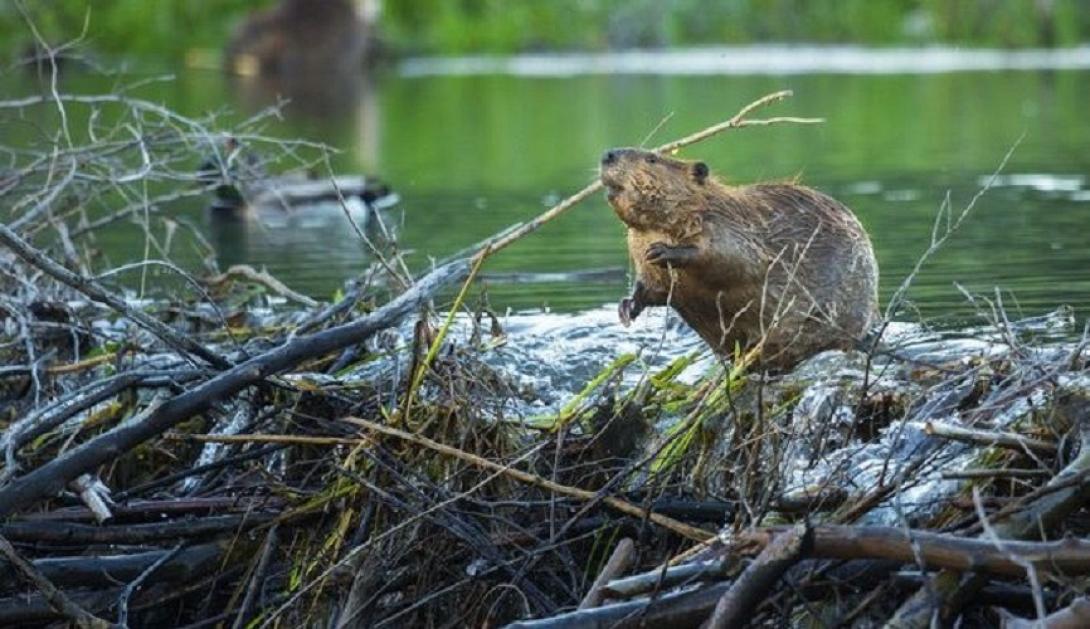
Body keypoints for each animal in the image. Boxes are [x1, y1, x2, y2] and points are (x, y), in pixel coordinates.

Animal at [601, 146, 880, 368]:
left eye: (651, 158)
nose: (608, 155)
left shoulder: (728, 225)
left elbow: (733, 259)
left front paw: (662, 251)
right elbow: (652, 287)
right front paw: (626, 308)